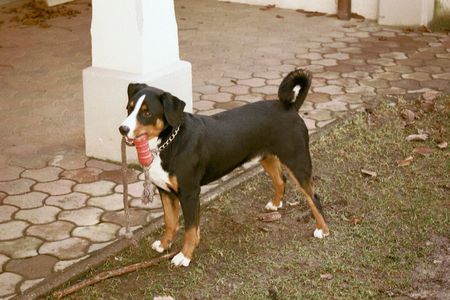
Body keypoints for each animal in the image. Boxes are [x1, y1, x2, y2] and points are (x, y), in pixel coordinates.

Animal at [118, 69, 330, 266]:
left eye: (146, 113)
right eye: (129, 108)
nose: (122, 129)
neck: (168, 143)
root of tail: (290, 108)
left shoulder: (189, 193)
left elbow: (189, 229)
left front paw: (185, 256)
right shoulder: (165, 190)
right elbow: (170, 222)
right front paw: (164, 244)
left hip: (297, 161)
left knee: (313, 197)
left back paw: (323, 229)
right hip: (267, 157)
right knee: (280, 180)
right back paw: (275, 204)